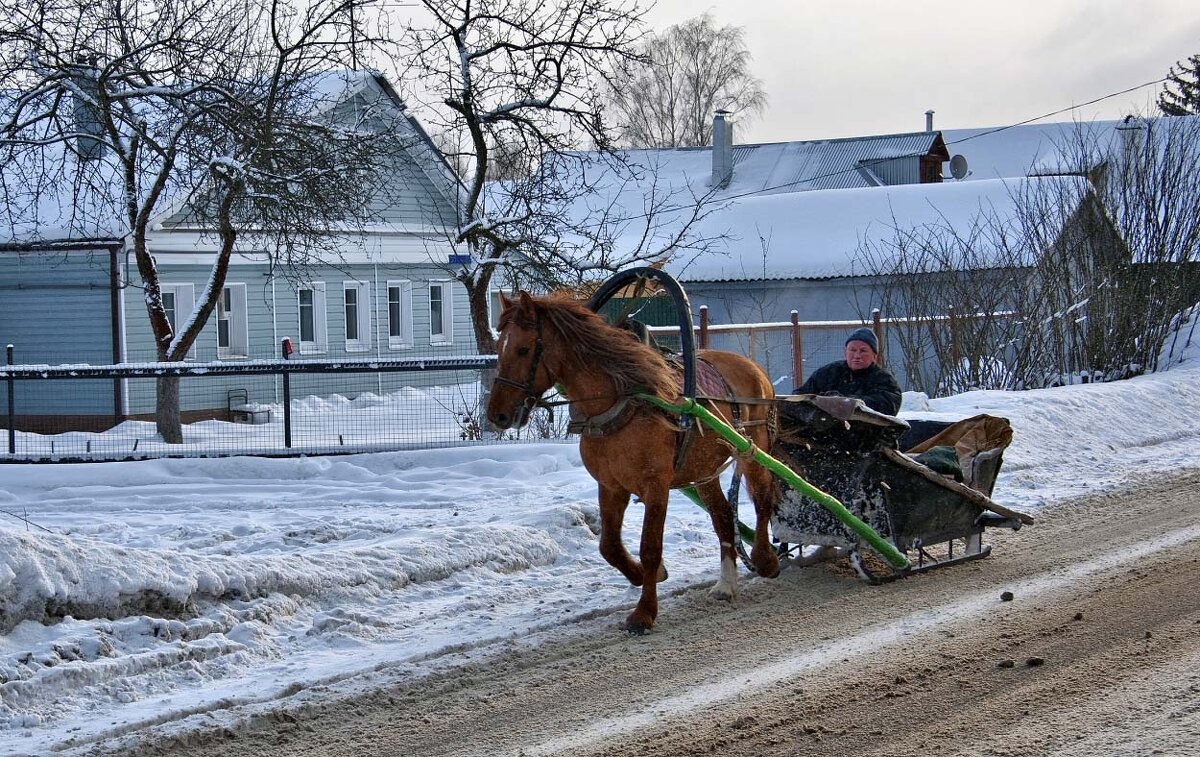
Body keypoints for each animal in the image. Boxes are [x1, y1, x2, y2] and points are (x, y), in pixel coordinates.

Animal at [482, 292, 782, 638]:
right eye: (498, 347)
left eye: (523, 349)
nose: (498, 414)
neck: (621, 403)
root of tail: (751, 365)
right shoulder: (611, 485)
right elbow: (609, 546)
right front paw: (640, 575)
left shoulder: (656, 486)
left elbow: (650, 548)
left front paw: (644, 612)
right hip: (704, 470)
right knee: (722, 518)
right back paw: (726, 583)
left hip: (753, 450)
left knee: (763, 499)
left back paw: (765, 558)